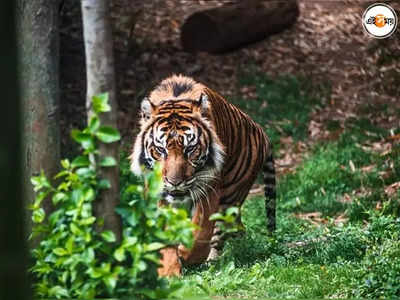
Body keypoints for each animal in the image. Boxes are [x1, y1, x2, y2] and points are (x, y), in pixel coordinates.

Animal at [130, 74, 276, 276]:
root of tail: (262, 133)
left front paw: (186, 256)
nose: (175, 182)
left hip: (231, 197)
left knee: (221, 233)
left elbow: (201, 233)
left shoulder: (209, 189)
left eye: (190, 149)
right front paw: (169, 272)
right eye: (161, 150)